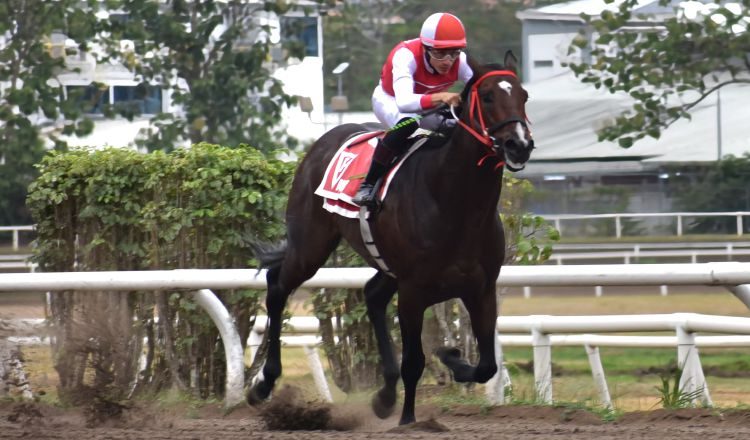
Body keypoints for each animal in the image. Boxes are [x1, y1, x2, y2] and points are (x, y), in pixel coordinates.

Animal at [248, 51, 535, 425]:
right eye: (487, 97)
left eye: (524, 96)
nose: (520, 145)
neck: (455, 204)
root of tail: (323, 141)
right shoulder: (413, 291)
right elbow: (414, 362)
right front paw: (409, 419)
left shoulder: (482, 289)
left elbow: (487, 365)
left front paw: (451, 358)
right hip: (310, 245)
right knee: (278, 286)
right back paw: (263, 383)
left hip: (385, 265)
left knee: (372, 295)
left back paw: (384, 394)